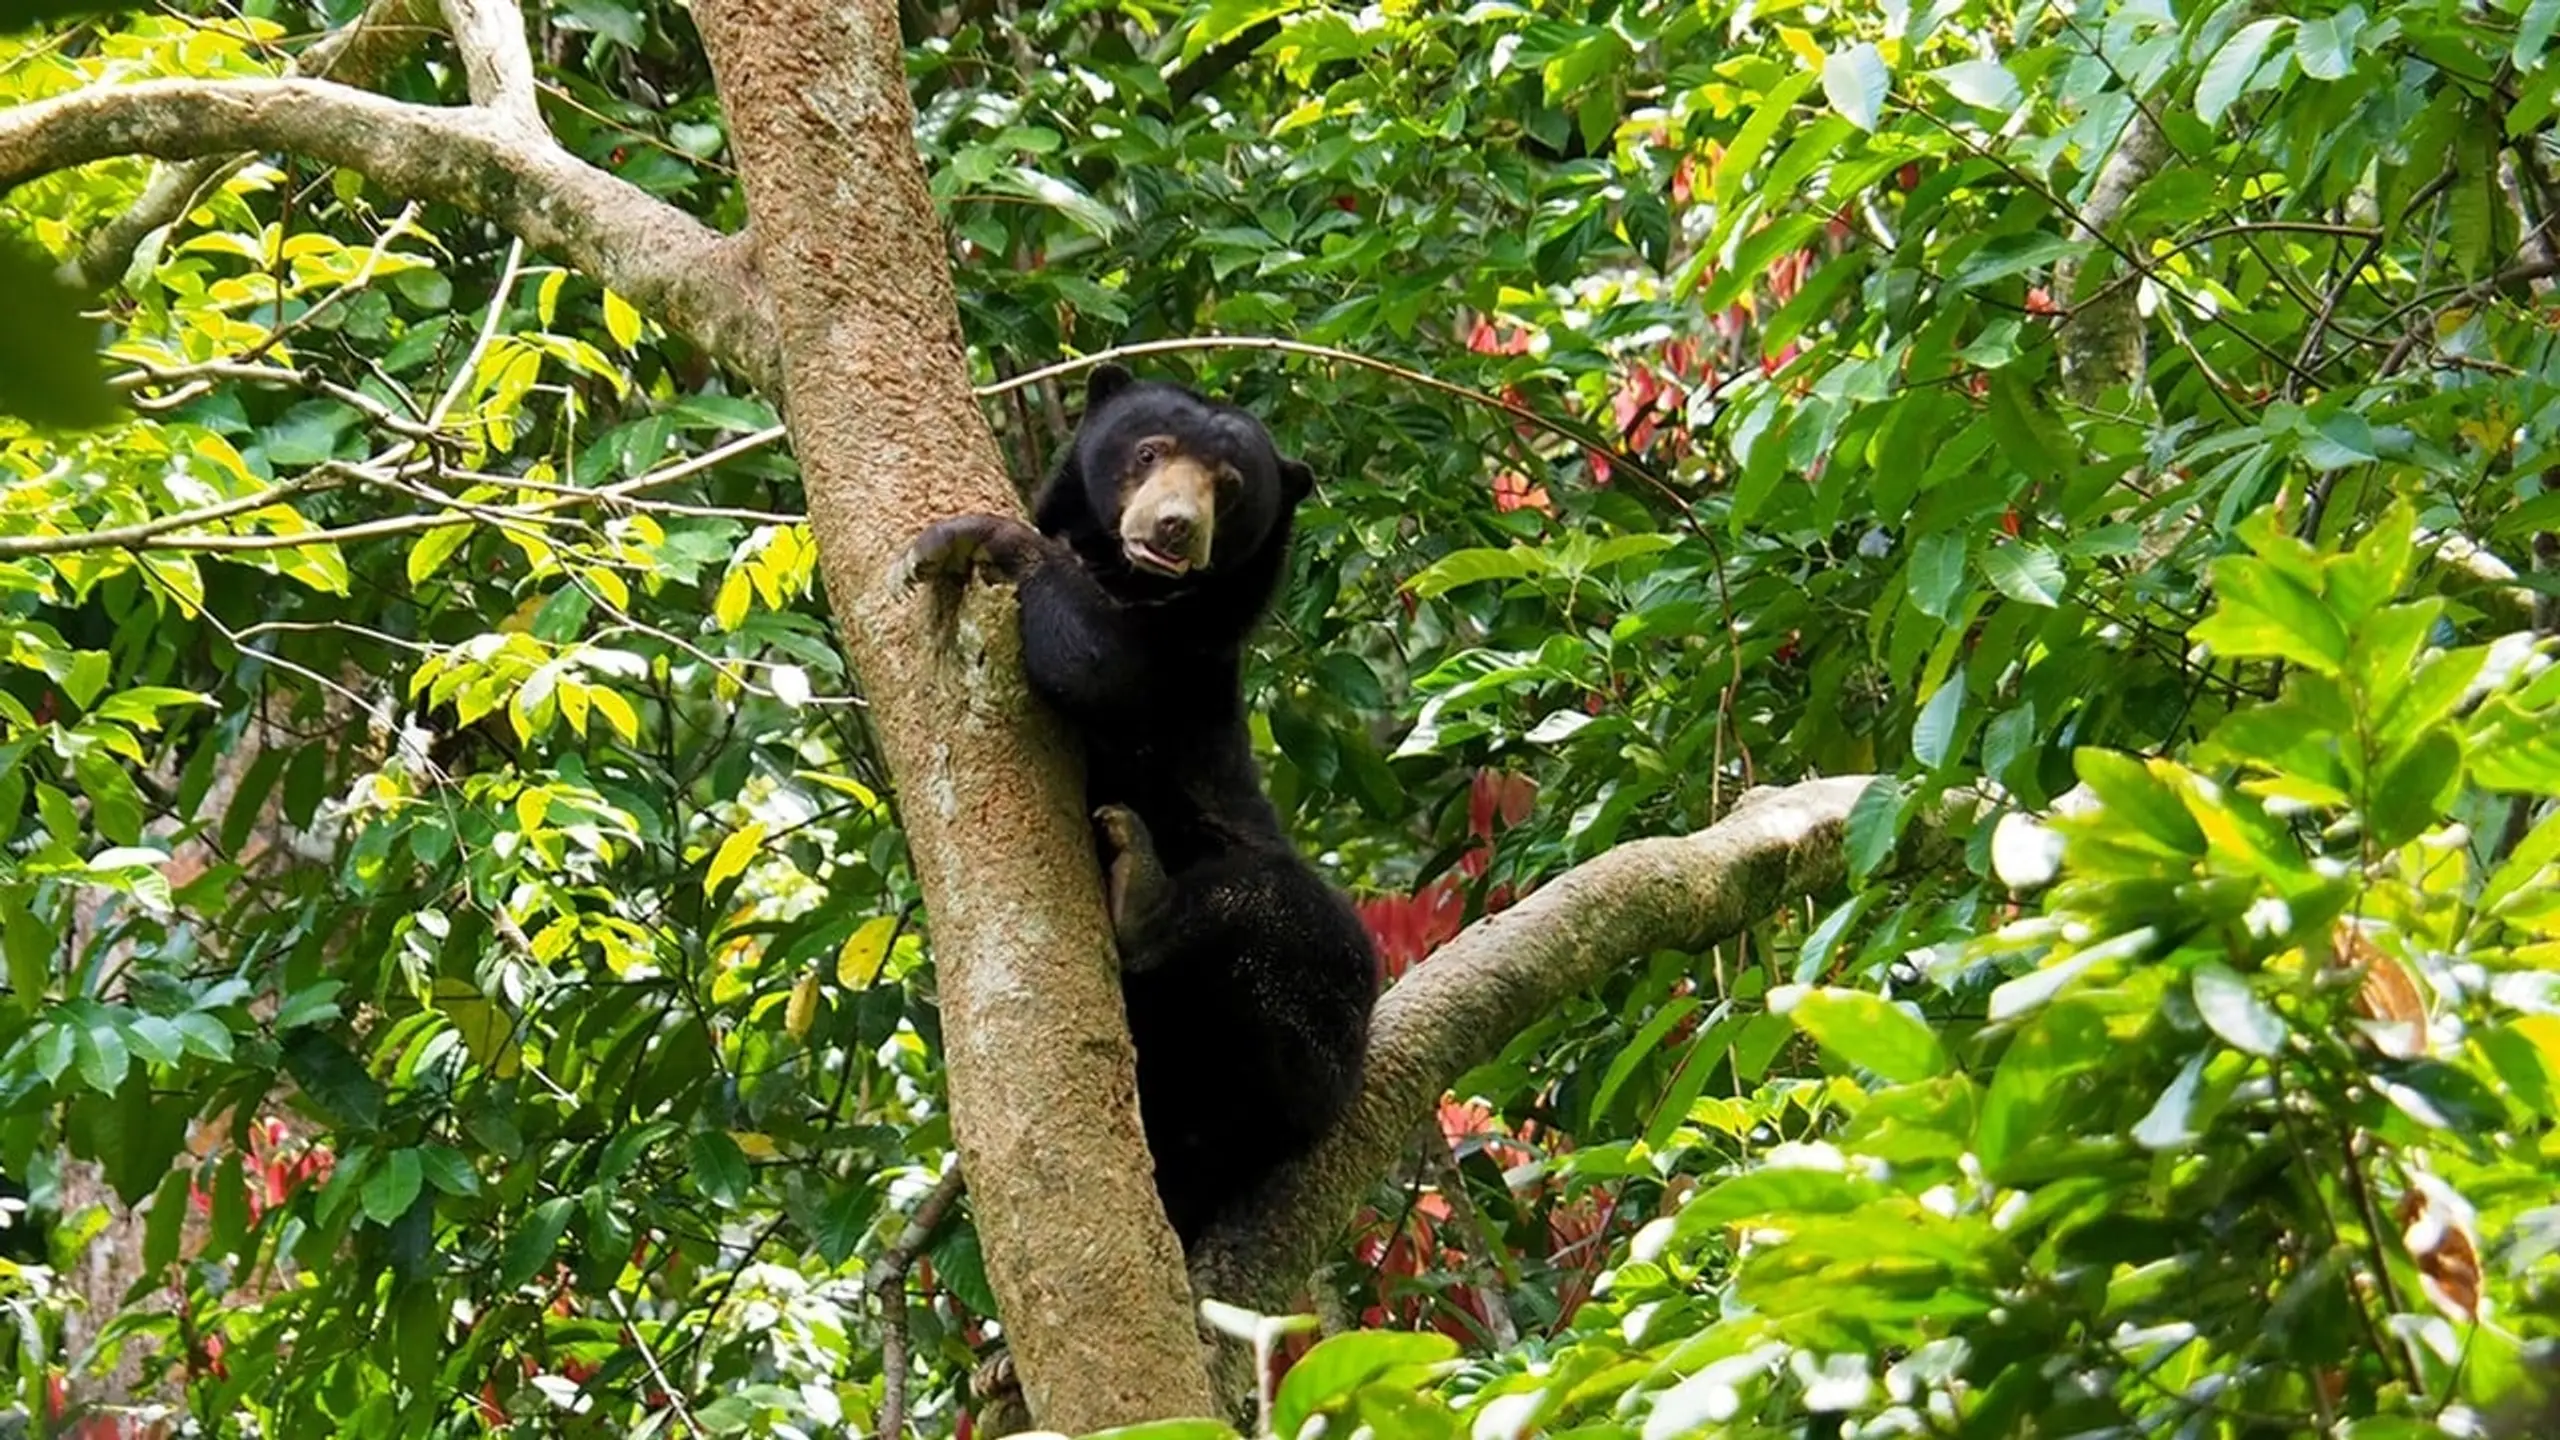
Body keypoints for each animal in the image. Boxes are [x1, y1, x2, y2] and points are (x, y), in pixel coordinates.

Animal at [901, 361, 1382, 1245]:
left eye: (1230, 487)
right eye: (1149, 451)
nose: (1172, 529)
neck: (1129, 577)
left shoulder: (1186, 667)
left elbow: (1104, 667)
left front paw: (985, 538)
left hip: (1323, 1027)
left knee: (1297, 920)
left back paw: (1141, 892)